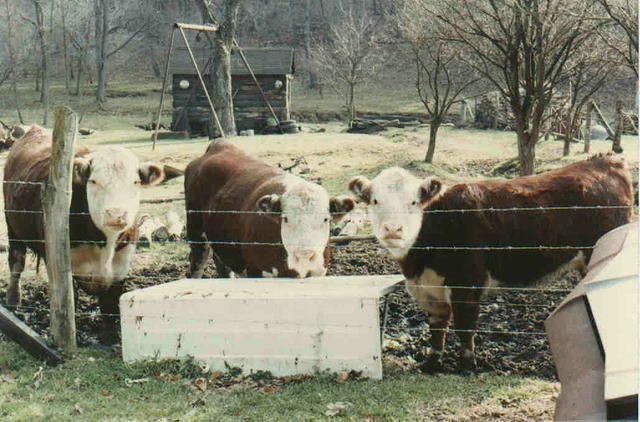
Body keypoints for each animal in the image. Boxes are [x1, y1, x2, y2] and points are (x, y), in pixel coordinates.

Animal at [3, 126, 164, 342]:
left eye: (135, 182)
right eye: (94, 181)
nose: (116, 214)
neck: (105, 244)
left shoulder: (121, 264)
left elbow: (110, 303)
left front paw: (110, 337)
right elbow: (71, 300)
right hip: (12, 226)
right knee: (16, 262)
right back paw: (13, 300)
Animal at [184, 140, 356, 280]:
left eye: (325, 219)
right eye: (285, 218)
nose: (304, 254)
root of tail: (218, 146)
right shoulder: (256, 271)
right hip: (197, 233)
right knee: (197, 262)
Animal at [350, 153, 636, 370]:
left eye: (413, 202)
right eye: (375, 201)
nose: (393, 229)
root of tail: (604, 160)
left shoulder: (467, 283)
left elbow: (465, 327)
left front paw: (467, 366)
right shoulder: (428, 290)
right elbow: (437, 328)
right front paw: (432, 364)